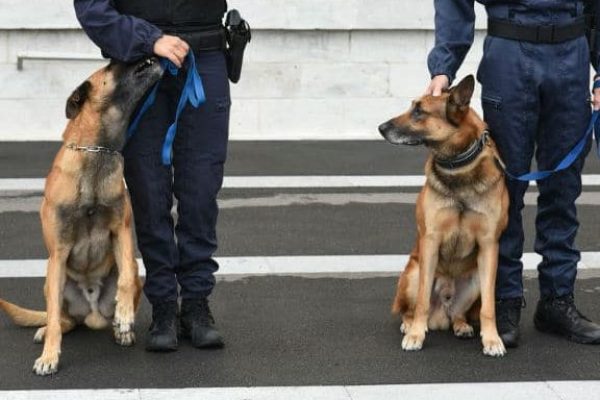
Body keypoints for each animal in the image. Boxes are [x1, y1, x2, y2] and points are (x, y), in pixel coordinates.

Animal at [0, 57, 163, 376]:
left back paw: (120, 328)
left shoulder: (121, 231)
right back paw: (46, 332)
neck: (97, 151)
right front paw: (50, 356)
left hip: (132, 270)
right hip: (52, 279)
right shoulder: (59, 252)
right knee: (60, 319)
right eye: (113, 65)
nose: (145, 51)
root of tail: (91, 313)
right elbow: (52, 319)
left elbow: (125, 279)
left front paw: (125, 316)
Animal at [378, 75, 508, 356]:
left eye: (419, 111)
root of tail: (442, 312)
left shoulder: (489, 246)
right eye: (412, 107)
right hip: (413, 273)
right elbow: (422, 303)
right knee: (411, 309)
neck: (458, 167)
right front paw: (416, 335)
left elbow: (489, 307)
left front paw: (492, 339)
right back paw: (410, 325)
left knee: (459, 313)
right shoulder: (430, 241)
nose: (380, 128)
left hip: (475, 280)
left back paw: (461, 326)